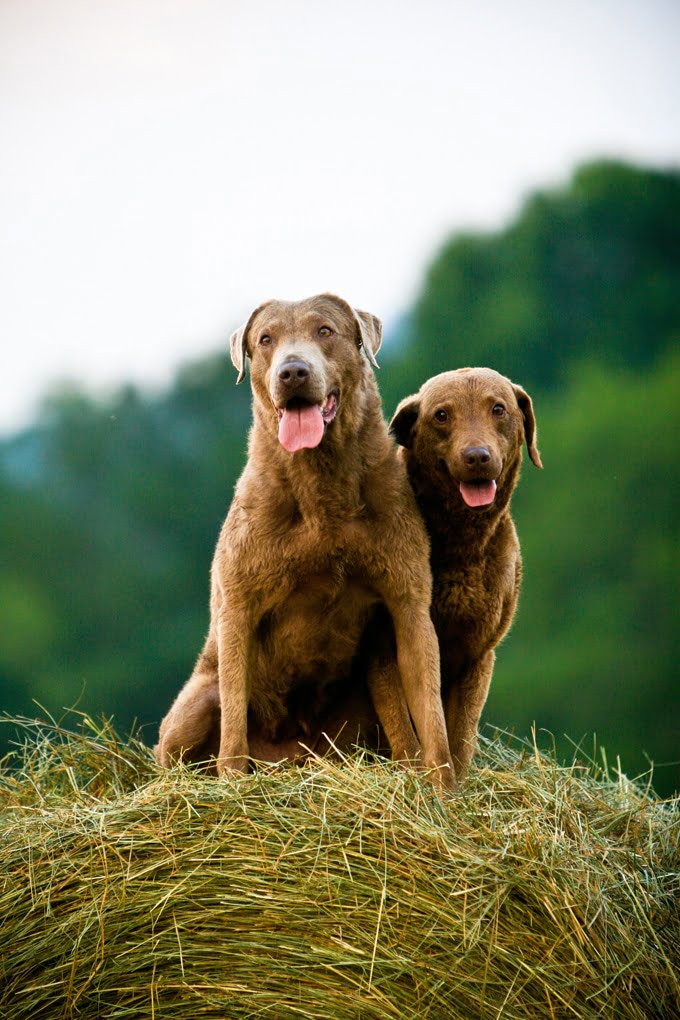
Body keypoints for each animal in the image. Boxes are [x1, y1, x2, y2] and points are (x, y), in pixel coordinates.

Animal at [369, 367, 546, 779]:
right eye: (441, 415)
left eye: (498, 408)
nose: (477, 457)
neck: (461, 549)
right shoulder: (382, 646)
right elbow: (405, 730)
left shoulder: (478, 653)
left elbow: (460, 737)